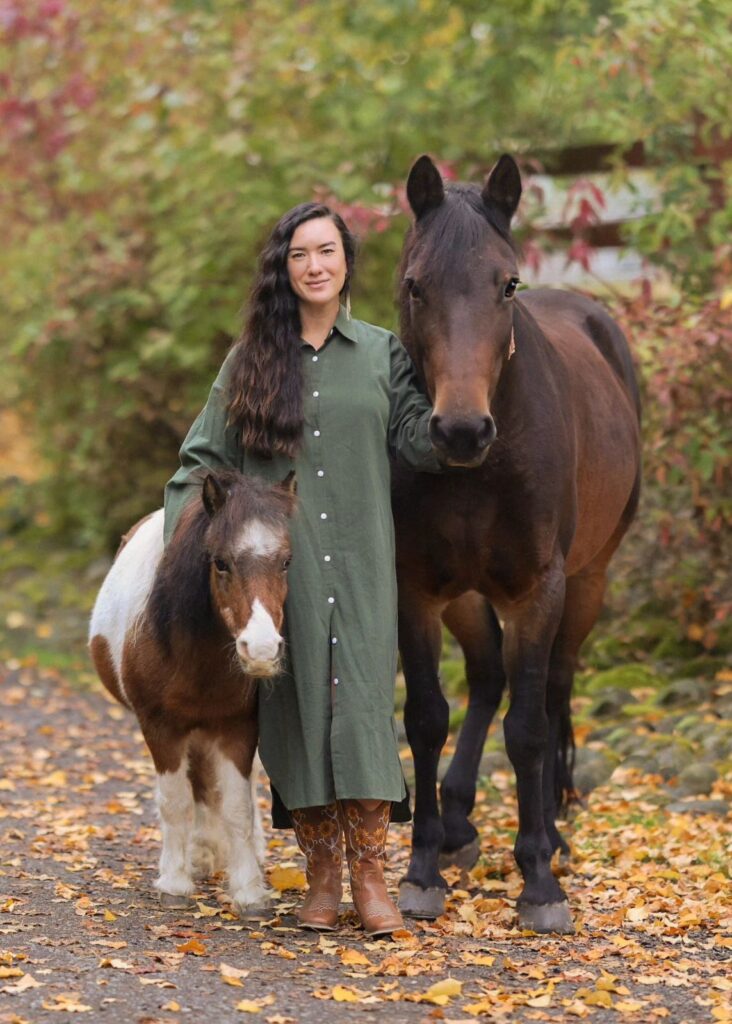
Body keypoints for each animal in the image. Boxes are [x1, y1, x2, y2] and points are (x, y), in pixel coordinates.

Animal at [89, 469, 297, 916]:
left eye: (286, 561)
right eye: (220, 562)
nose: (261, 650)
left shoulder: (238, 728)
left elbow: (236, 806)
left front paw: (249, 889)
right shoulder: (161, 728)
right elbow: (176, 802)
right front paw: (174, 881)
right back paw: (199, 854)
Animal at [393, 153, 641, 934]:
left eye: (507, 284)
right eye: (415, 285)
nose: (461, 431)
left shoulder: (538, 590)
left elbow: (529, 728)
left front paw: (537, 879)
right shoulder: (418, 588)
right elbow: (426, 717)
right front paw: (421, 868)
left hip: (589, 581)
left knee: (553, 689)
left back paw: (551, 832)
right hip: (467, 596)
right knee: (486, 678)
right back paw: (457, 825)